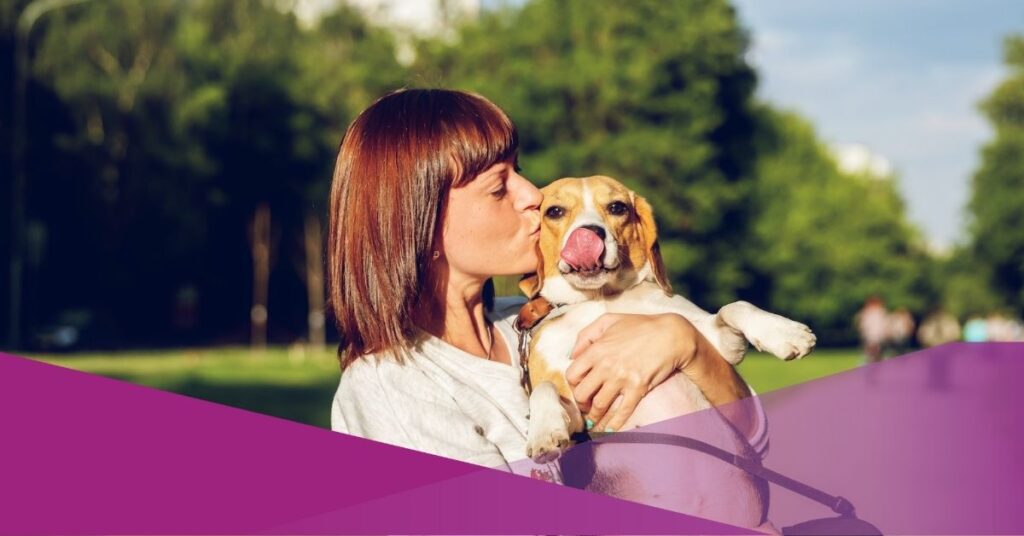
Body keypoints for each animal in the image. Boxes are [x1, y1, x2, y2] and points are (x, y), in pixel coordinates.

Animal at [520, 177, 815, 532]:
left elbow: (735, 306)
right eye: (554, 211)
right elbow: (544, 389)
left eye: (617, 207)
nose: (590, 234)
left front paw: (784, 332)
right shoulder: (577, 411)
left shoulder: (716, 340)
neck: (601, 299)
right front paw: (544, 431)